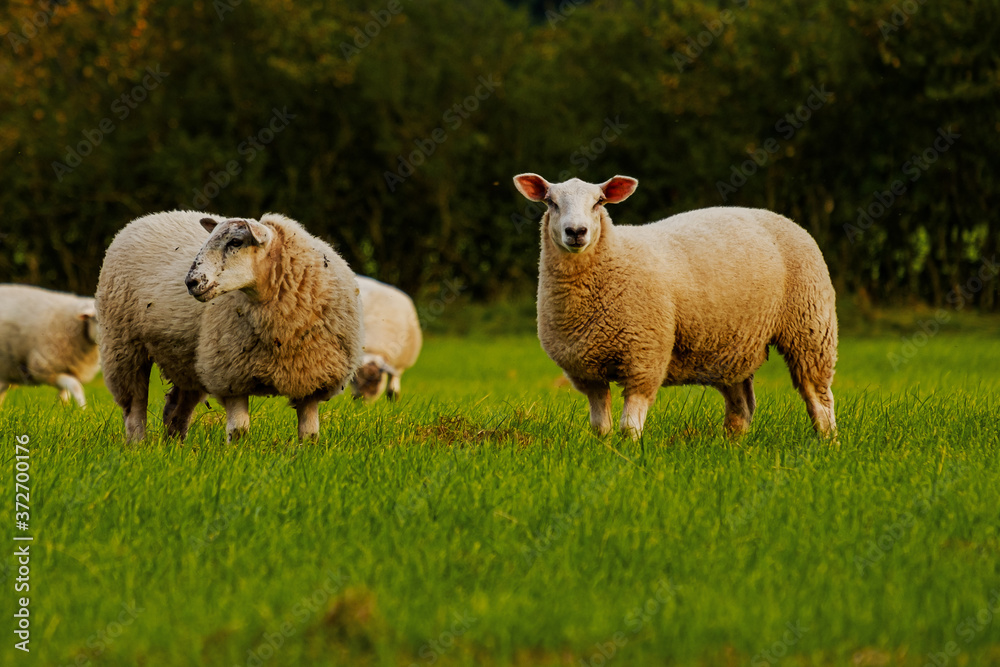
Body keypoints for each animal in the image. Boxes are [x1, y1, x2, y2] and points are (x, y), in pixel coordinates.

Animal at [95, 210, 363, 442]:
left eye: (235, 241)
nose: (191, 282)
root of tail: (145, 218)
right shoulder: (230, 375)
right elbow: (239, 431)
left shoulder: (310, 379)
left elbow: (309, 435)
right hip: (123, 344)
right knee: (134, 405)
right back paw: (137, 445)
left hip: (185, 359)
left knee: (175, 409)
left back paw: (175, 448)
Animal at [513, 173, 838, 439]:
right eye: (551, 202)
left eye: (599, 202)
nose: (576, 231)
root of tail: (778, 216)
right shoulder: (587, 372)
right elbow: (600, 427)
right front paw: (604, 450)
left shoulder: (644, 358)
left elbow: (628, 426)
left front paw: (629, 454)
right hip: (731, 346)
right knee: (742, 407)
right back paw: (732, 446)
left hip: (810, 326)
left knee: (818, 395)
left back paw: (828, 441)